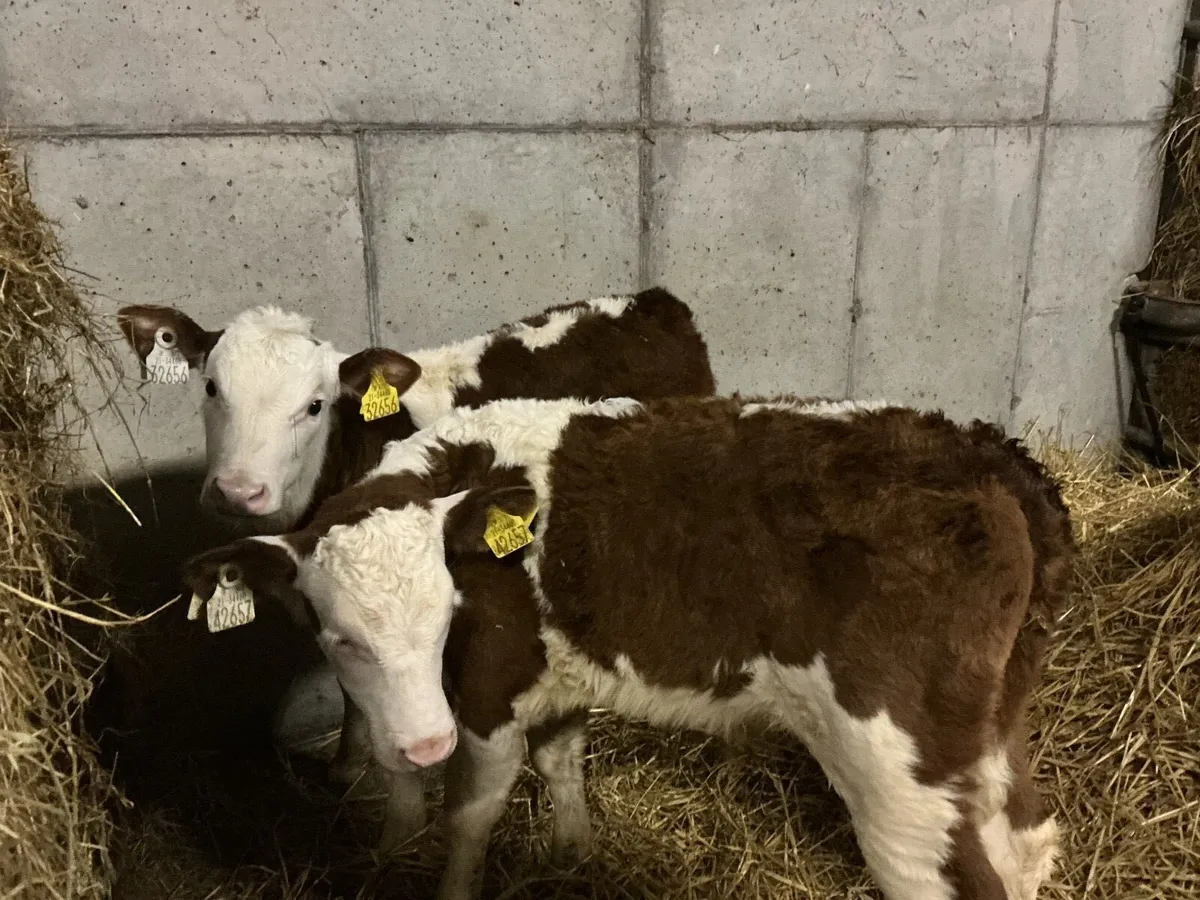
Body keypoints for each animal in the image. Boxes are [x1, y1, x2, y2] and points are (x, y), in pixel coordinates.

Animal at [117, 289, 715, 849]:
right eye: (211, 389)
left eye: (314, 405)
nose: (239, 491)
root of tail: (648, 301)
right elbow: (359, 698)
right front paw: (346, 768)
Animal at [183, 395, 1073, 900]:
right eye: (342, 637)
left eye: (447, 621)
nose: (427, 741)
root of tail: (989, 456)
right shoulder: (547, 682)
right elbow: (553, 765)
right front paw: (566, 854)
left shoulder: (489, 687)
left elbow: (471, 810)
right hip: (988, 728)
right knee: (1025, 840)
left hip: (895, 766)